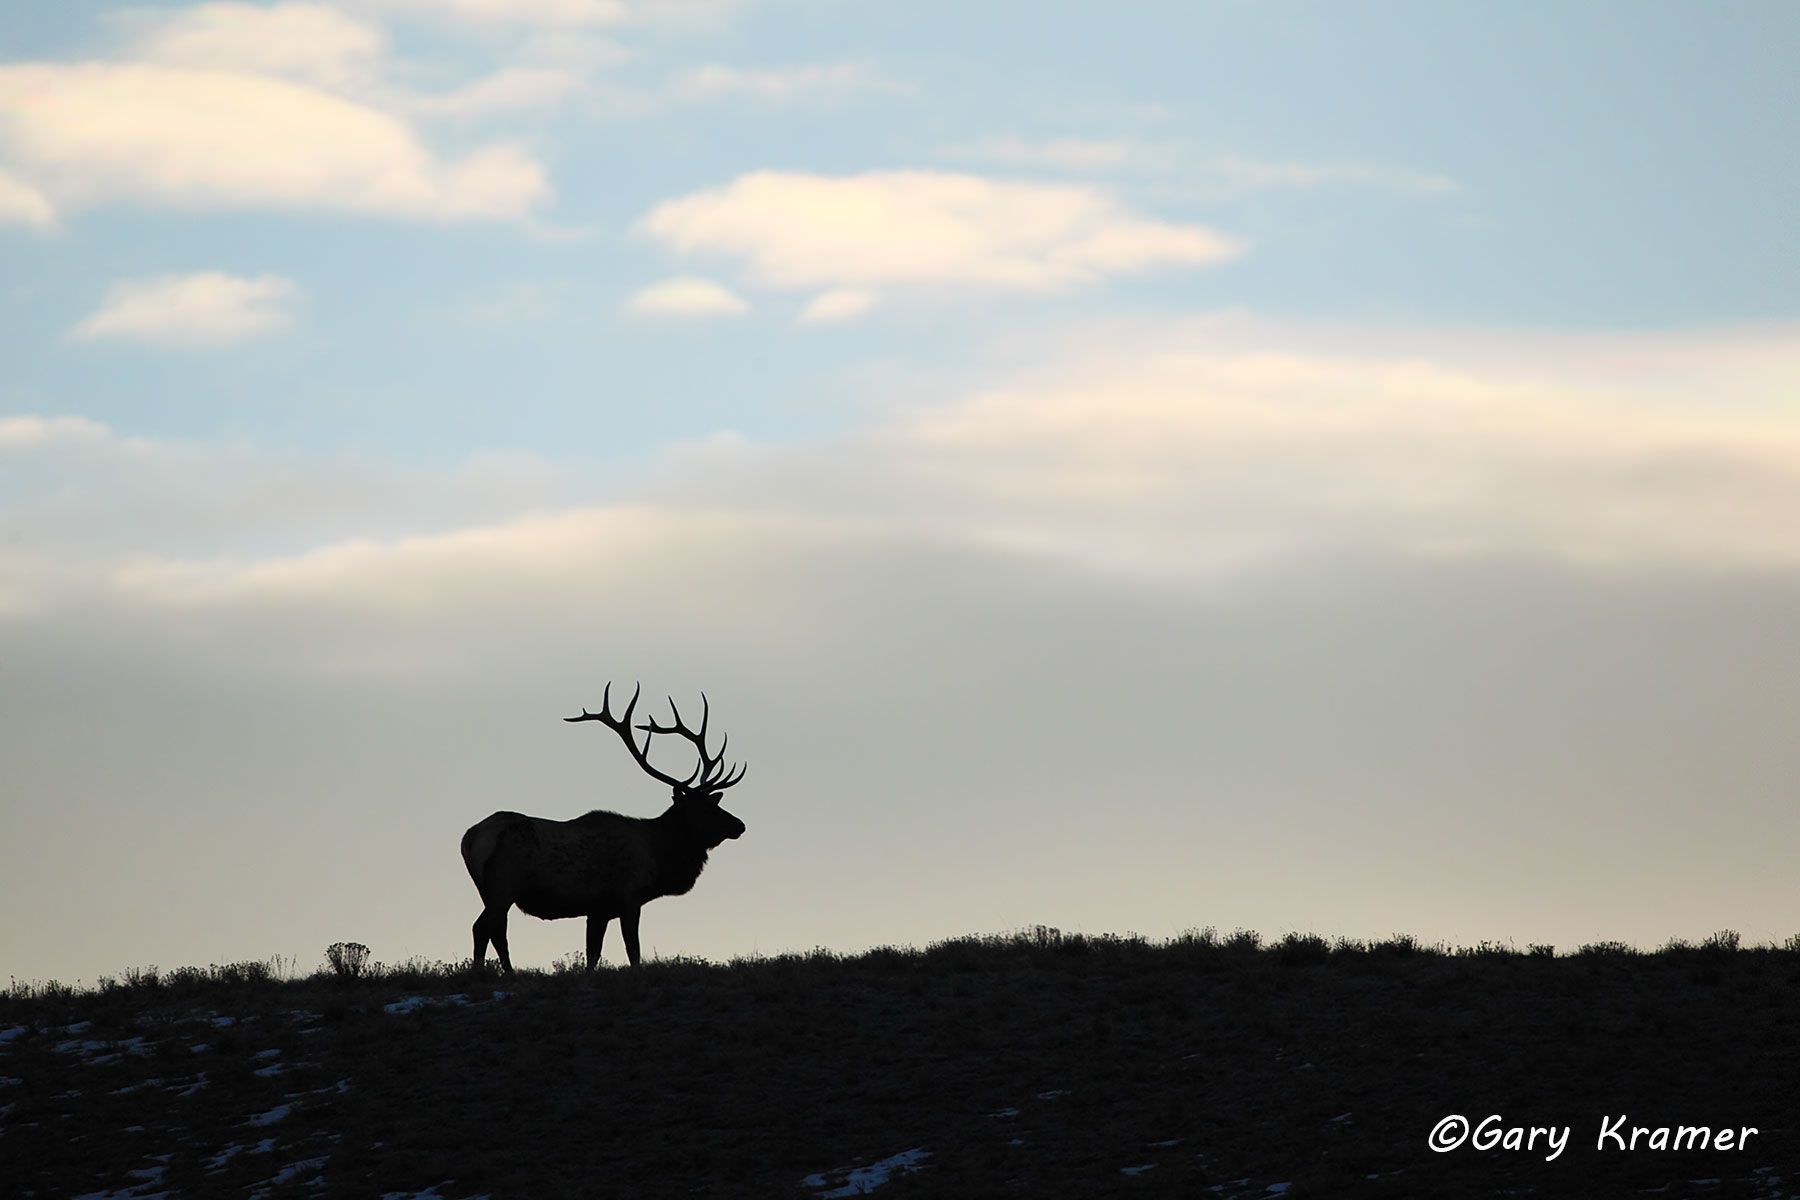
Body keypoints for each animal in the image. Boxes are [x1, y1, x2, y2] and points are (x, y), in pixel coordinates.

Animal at [460, 682, 747, 975]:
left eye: (714, 803)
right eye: (703, 809)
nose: (740, 825)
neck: (658, 856)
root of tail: (470, 838)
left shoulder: (598, 910)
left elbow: (593, 953)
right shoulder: (629, 896)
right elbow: (633, 949)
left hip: (488, 890)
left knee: (493, 929)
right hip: (504, 883)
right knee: (484, 927)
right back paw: (492, 972)